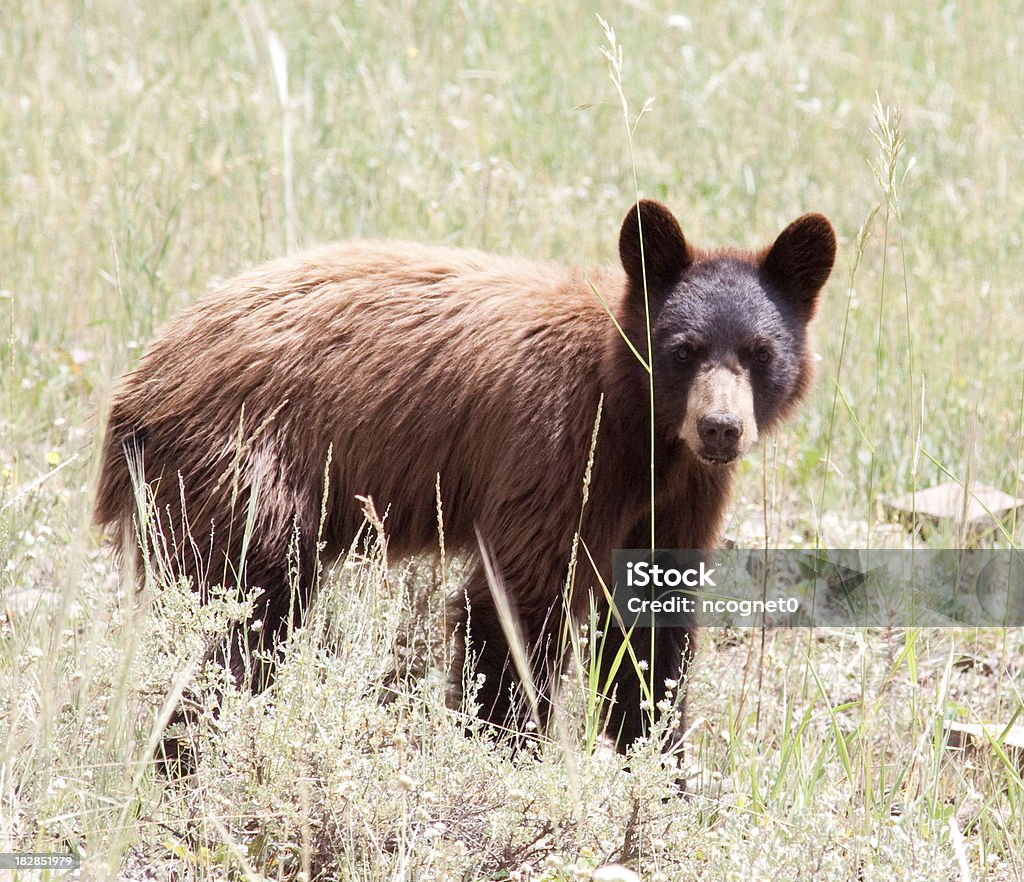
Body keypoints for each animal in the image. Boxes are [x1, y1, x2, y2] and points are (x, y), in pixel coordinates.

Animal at [92, 197, 835, 749]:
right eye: (683, 348)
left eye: (760, 351)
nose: (721, 428)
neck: (642, 425)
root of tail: (140, 382)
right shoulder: (560, 446)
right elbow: (519, 600)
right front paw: (507, 755)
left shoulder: (683, 492)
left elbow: (651, 622)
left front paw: (655, 768)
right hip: (241, 468)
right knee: (242, 615)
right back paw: (190, 750)